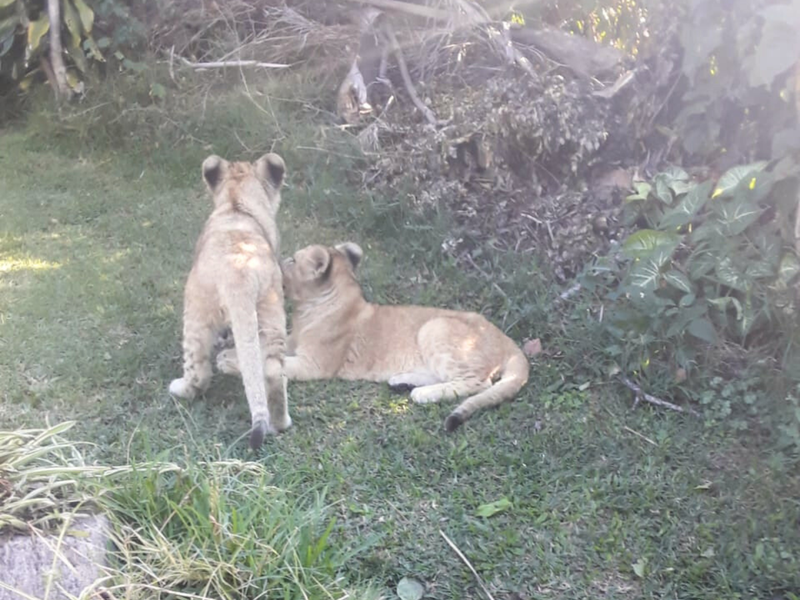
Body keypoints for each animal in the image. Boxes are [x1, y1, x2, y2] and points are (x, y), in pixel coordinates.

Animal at [168, 153, 292, 449]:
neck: (238, 204)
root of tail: (240, 273)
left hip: (195, 309)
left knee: (198, 371)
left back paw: (180, 389)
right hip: (271, 311)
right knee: (273, 371)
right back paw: (280, 423)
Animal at [216, 242, 530, 431]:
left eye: (293, 260)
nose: (275, 263)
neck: (307, 310)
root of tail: (508, 341)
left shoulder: (313, 365)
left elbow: (265, 360)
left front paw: (227, 359)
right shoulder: (293, 342)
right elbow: (262, 347)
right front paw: (228, 346)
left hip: (435, 327)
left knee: (477, 382)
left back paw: (421, 394)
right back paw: (402, 382)